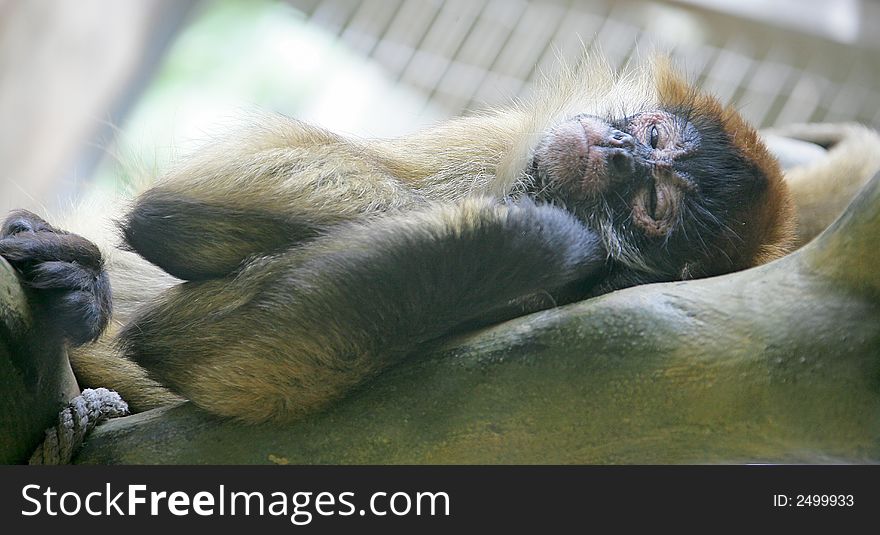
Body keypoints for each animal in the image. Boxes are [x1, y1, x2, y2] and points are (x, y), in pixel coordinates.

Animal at [0, 54, 796, 422]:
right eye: (653, 137)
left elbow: (216, 357)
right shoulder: (515, 139)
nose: (622, 152)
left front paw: (547, 242)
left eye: (653, 203)